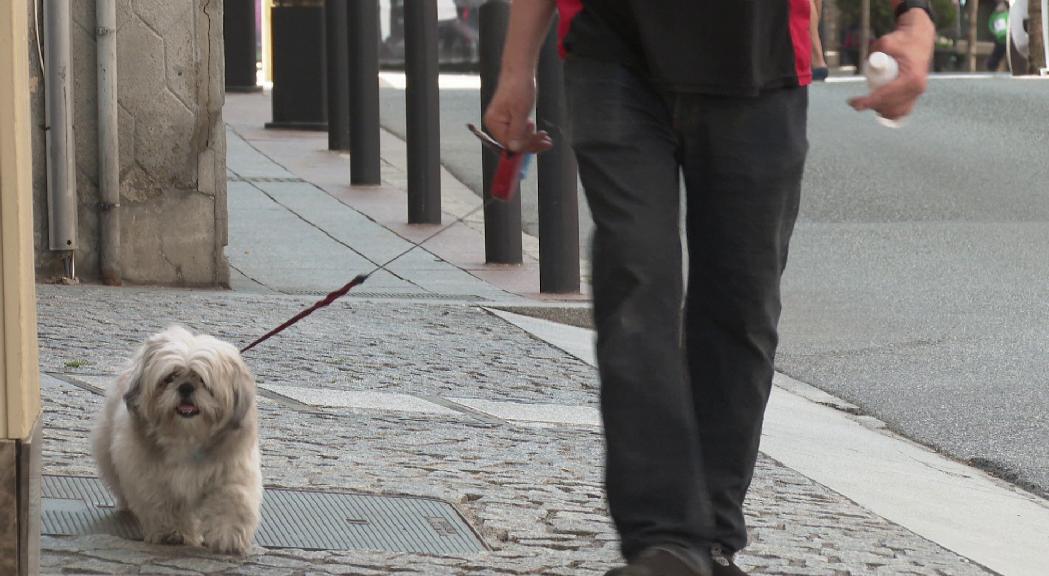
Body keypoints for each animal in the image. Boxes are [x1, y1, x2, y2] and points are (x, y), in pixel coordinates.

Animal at [94, 323, 262, 553]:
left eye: (202, 380)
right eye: (170, 378)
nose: (185, 387)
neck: (187, 436)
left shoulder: (231, 471)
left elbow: (231, 501)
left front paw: (227, 535)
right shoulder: (152, 477)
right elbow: (164, 504)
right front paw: (173, 533)